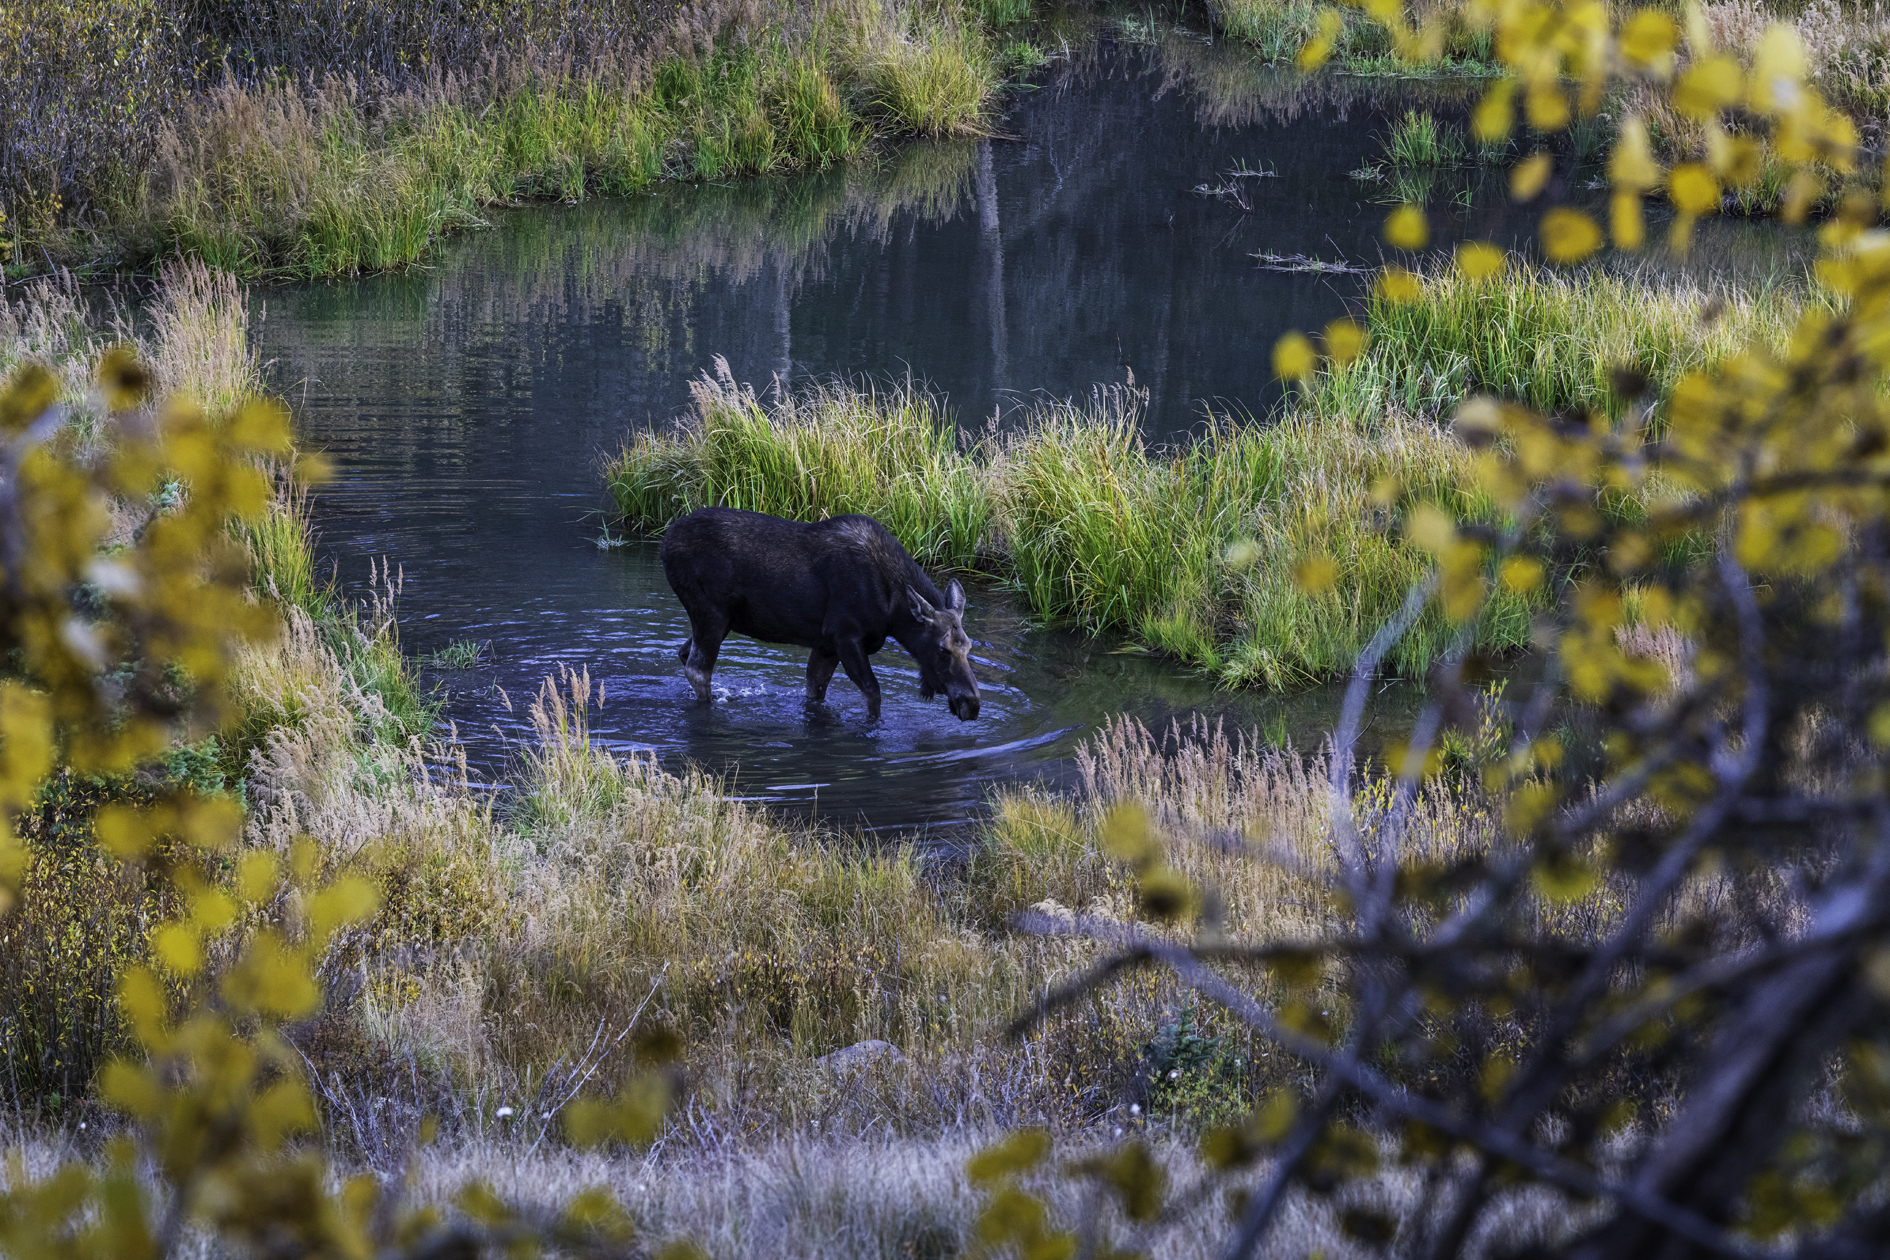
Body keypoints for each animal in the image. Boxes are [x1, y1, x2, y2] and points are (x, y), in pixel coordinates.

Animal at [657, 502, 982, 717]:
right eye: (943, 650)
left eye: (968, 647)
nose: (972, 703)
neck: (893, 614)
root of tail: (665, 542)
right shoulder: (845, 635)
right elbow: (873, 694)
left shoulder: (826, 644)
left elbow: (815, 692)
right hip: (710, 612)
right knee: (698, 669)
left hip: (722, 619)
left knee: (684, 653)